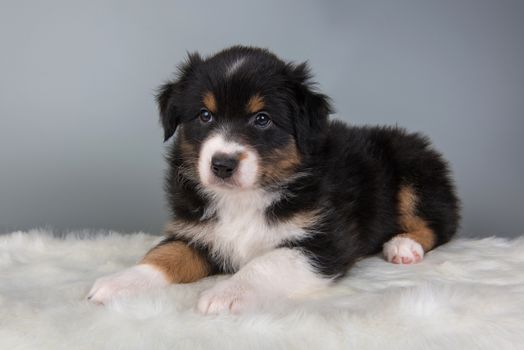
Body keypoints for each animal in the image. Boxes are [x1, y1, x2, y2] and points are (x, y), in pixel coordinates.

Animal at [88, 45, 460, 314]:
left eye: (262, 119)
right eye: (204, 115)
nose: (222, 164)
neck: (245, 197)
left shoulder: (324, 240)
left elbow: (266, 263)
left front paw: (225, 293)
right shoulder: (197, 232)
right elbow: (164, 254)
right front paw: (119, 282)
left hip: (412, 168)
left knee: (440, 225)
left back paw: (403, 246)